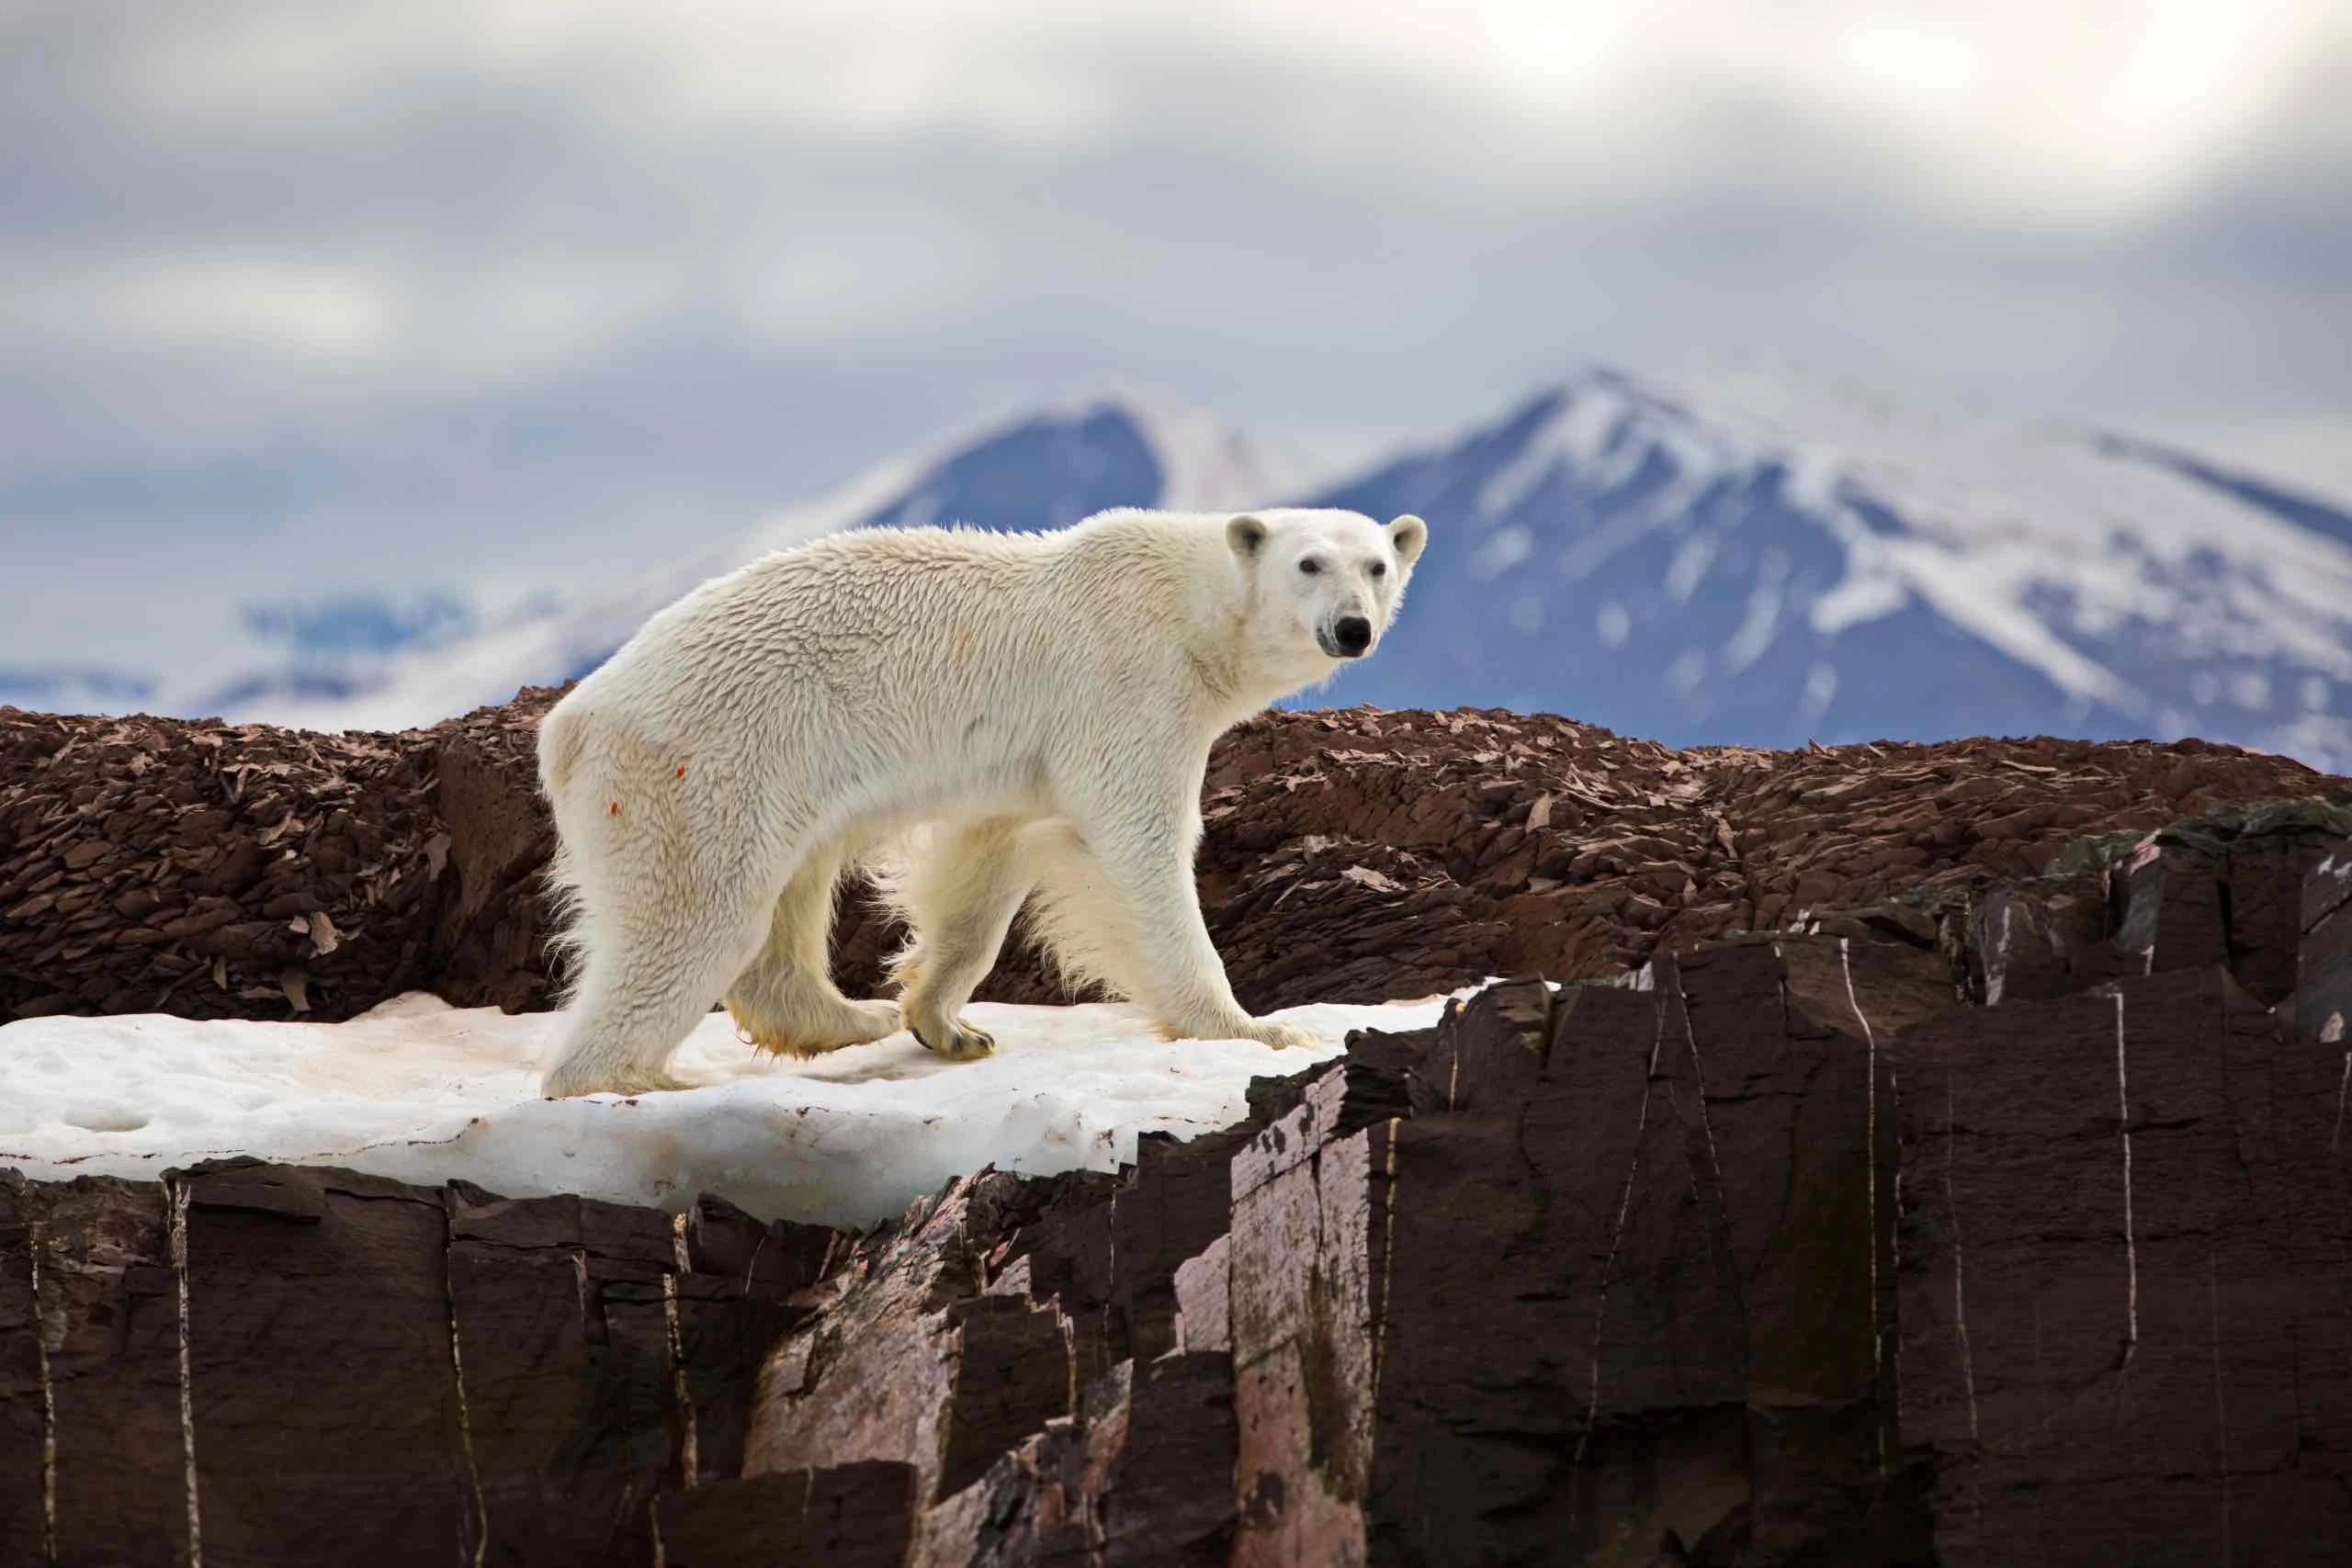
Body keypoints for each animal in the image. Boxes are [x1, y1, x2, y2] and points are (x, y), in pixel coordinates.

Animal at [536, 510, 1430, 1100]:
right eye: (1309, 564)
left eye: (1376, 566)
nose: (1352, 628)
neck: (1190, 604)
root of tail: (567, 726)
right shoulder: (1131, 683)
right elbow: (1136, 842)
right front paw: (1256, 1028)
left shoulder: (1016, 766)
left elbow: (984, 861)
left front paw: (948, 1021)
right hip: (701, 765)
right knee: (692, 917)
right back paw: (636, 1078)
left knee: (789, 892)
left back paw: (850, 1016)